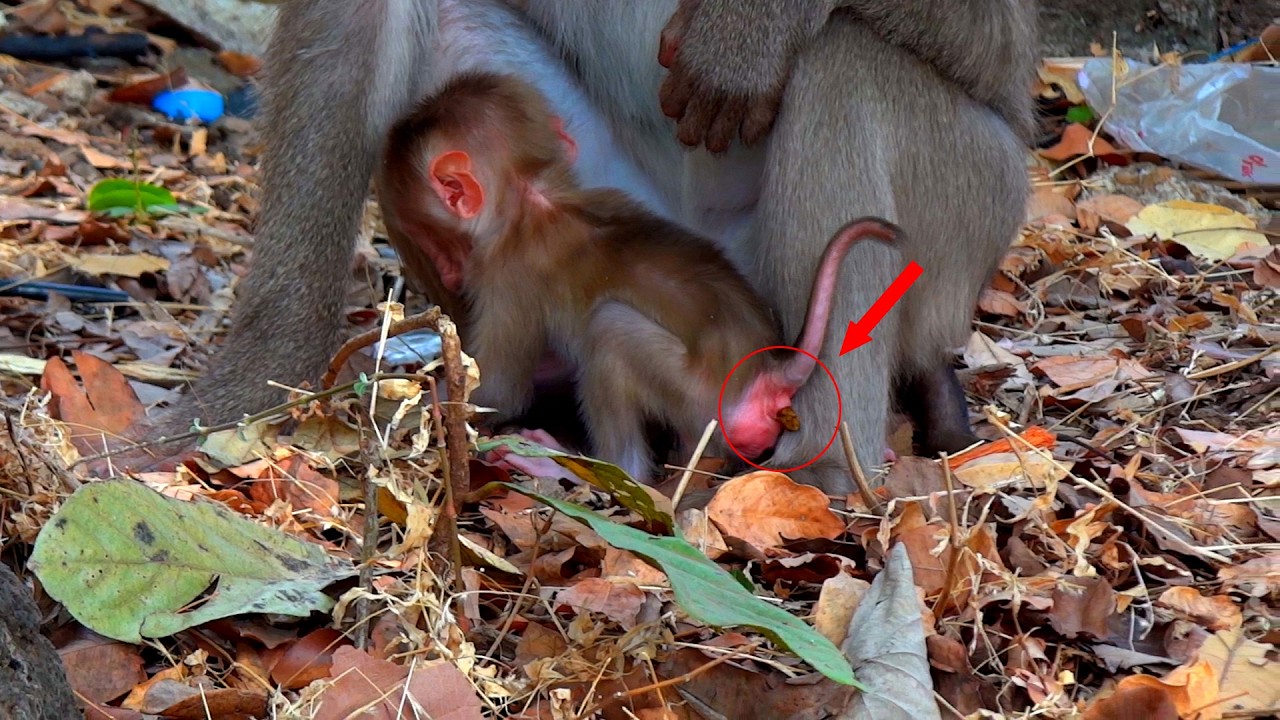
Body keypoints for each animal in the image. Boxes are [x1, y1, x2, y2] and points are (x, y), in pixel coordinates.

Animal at [378, 71, 903, 480]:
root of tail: (767, 376)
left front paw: (429, 401)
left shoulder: (505, 277)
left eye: (429, 239)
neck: (534, 196)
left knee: (609, 331)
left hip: (699, 401)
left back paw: (595, 470)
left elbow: (498, 390)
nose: (448, 271)